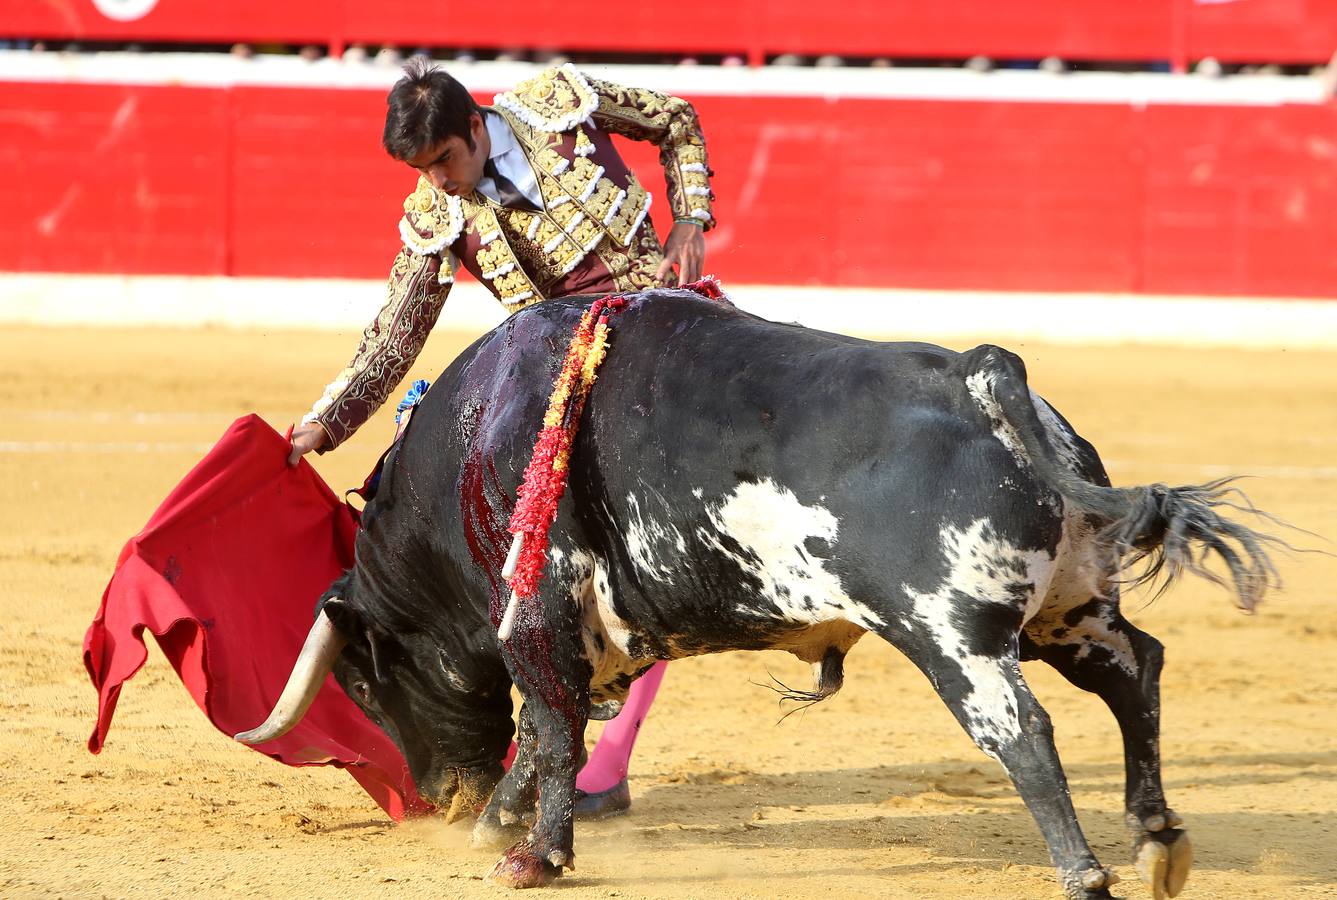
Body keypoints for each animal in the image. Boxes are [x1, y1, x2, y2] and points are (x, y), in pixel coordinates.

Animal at [237, 291, 1272, 893]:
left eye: (362, 683)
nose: (440, 801)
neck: (476, 429)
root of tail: (979, 375)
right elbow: (541, 731)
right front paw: (498, 829)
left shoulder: (536, 605)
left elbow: (553, 726)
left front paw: (531, 855)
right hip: (1067, 607)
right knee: (1134, 672)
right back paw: (1156, 840)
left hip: (952, 633)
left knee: (1020, 732)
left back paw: (1084, 873)